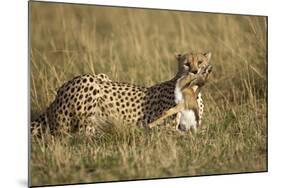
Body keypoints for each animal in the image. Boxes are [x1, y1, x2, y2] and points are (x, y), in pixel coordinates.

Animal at [30, 52, 210, 136]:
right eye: (186, 64)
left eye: (200, 62)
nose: (195, 71)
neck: (192, 90)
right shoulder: (160, 126)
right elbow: (176, 131)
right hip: (88, 83)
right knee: (77, 134)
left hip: (102, 76)